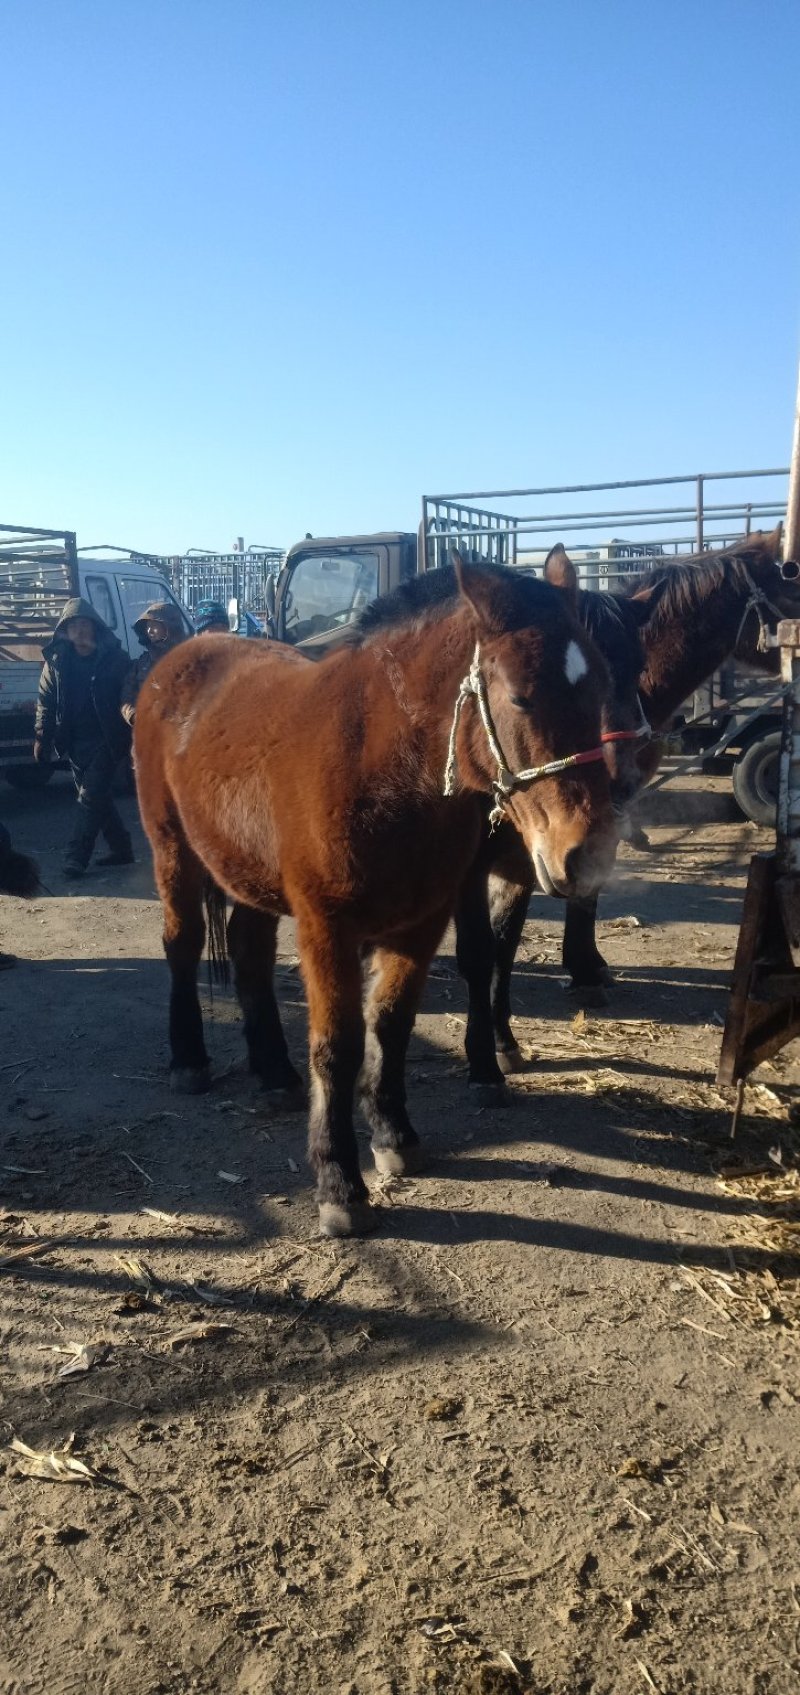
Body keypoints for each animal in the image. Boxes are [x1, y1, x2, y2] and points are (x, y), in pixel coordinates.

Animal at [134, 558, 620, 1237]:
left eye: (601, 686)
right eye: (522, 696)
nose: (588, 855)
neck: (380, 765)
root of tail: (175, 659)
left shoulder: (421, 923)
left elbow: (390, 1023)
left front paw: (394, 1135)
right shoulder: (326, 928)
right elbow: (337, 1047)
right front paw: (339, 1183)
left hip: (247, 873)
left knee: (248, 955)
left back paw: (274, 1074)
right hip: (172, 852)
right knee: (181, 945)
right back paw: (189, 1062)